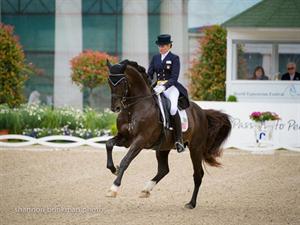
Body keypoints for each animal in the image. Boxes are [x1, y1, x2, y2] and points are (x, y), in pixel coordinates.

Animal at [104, 59, 231, 209]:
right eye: (109, 81)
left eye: (122, 82)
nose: (115, 108)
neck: (133, 108)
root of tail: (202, 112)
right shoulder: (125, 138)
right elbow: (108, 144)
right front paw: (113, 169)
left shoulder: (140, 140)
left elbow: (125, 161)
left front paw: (113, 188)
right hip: (163, 148)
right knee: (164, 169)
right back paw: (146, 189)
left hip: (195, 148)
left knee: (198, 175)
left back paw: (191, 203)